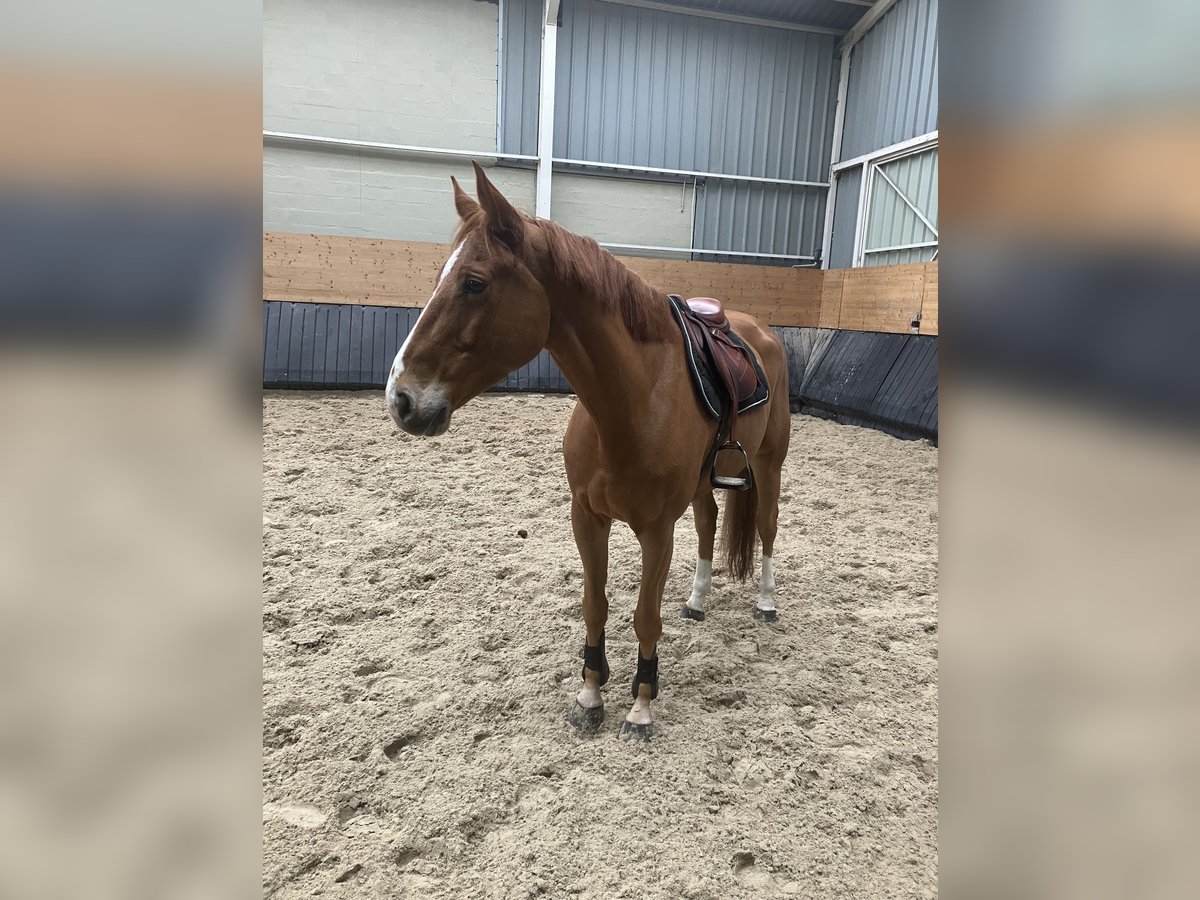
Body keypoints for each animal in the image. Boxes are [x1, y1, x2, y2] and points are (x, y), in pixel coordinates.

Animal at [388, 165, 792, 744]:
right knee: (709, 521)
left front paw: (641, 705)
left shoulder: (656, 531)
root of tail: (759, 331)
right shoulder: (587, 517)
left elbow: (645, 615)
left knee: (765, 526)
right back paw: (697, 599)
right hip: (704, 483)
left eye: (474, 282)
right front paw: (590, 693)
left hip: (768, 463)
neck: (630, 402)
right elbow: (594, 605)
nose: (400, 399)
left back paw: (765, 600)